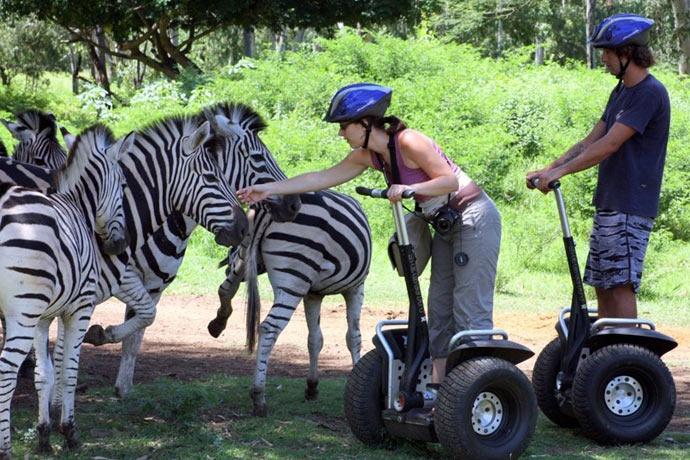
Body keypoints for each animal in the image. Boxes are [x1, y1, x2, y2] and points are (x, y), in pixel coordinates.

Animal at [0, 123, 129, 456]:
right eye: (123, 185)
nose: (119, 245)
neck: (79, 207)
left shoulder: (43, 317)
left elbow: (43, 374)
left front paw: (44, 436)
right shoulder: (80, 309)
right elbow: (69, 371)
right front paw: (69, 433)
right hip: (22, 313)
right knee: (6, 370)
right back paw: (4, 447)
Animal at [212, 189, 370, 416]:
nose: (225, 265)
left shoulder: (313, 294)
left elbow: (315, 339)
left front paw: (312, 386)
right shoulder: (356, 288)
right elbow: (354, 336)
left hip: (246, 257)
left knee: (225, 290)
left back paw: (217, 324)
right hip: (293, 279)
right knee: (269, 327)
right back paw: (258, 395)